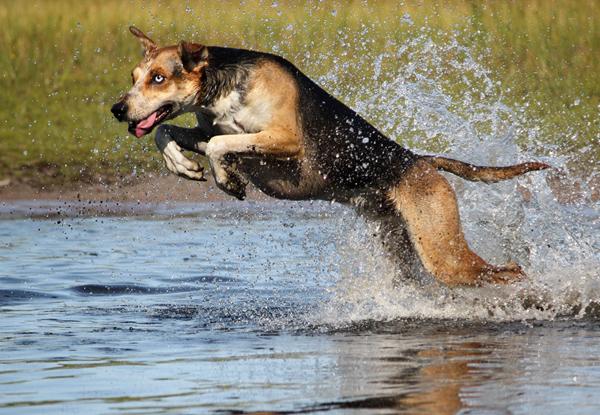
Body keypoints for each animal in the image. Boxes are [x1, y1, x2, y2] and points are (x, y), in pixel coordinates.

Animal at [110, 26, 552, 286]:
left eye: (158, 78)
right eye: (134, 77)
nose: (117, 109)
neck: (225, 87)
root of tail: (419, 161)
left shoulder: (286, 141)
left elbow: (223, 146)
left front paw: (228, 180)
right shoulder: (206, 129)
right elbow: (168, 132)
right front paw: (183, 165)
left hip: (443, 254)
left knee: (507, 271)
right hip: (404, 246)